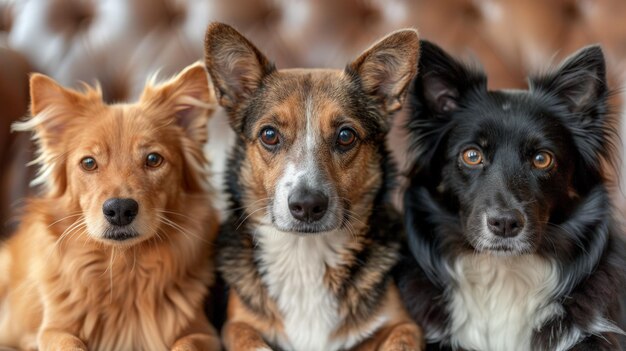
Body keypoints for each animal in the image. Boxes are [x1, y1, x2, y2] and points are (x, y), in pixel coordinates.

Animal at [0, 63, 221, 351]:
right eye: (88, 163)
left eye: (153, 159)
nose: (120, 210)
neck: (122, 267)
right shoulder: (52, 330)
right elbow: (66, 343)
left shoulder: (203, 332)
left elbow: (186, 344)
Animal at [205, 22, 424, 351]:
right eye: (269, 134)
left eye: (346, 136)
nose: (307, 205)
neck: (304, 254)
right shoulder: (236, 324)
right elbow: (250, 342)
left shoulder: (404, 324)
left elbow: (400, 342)